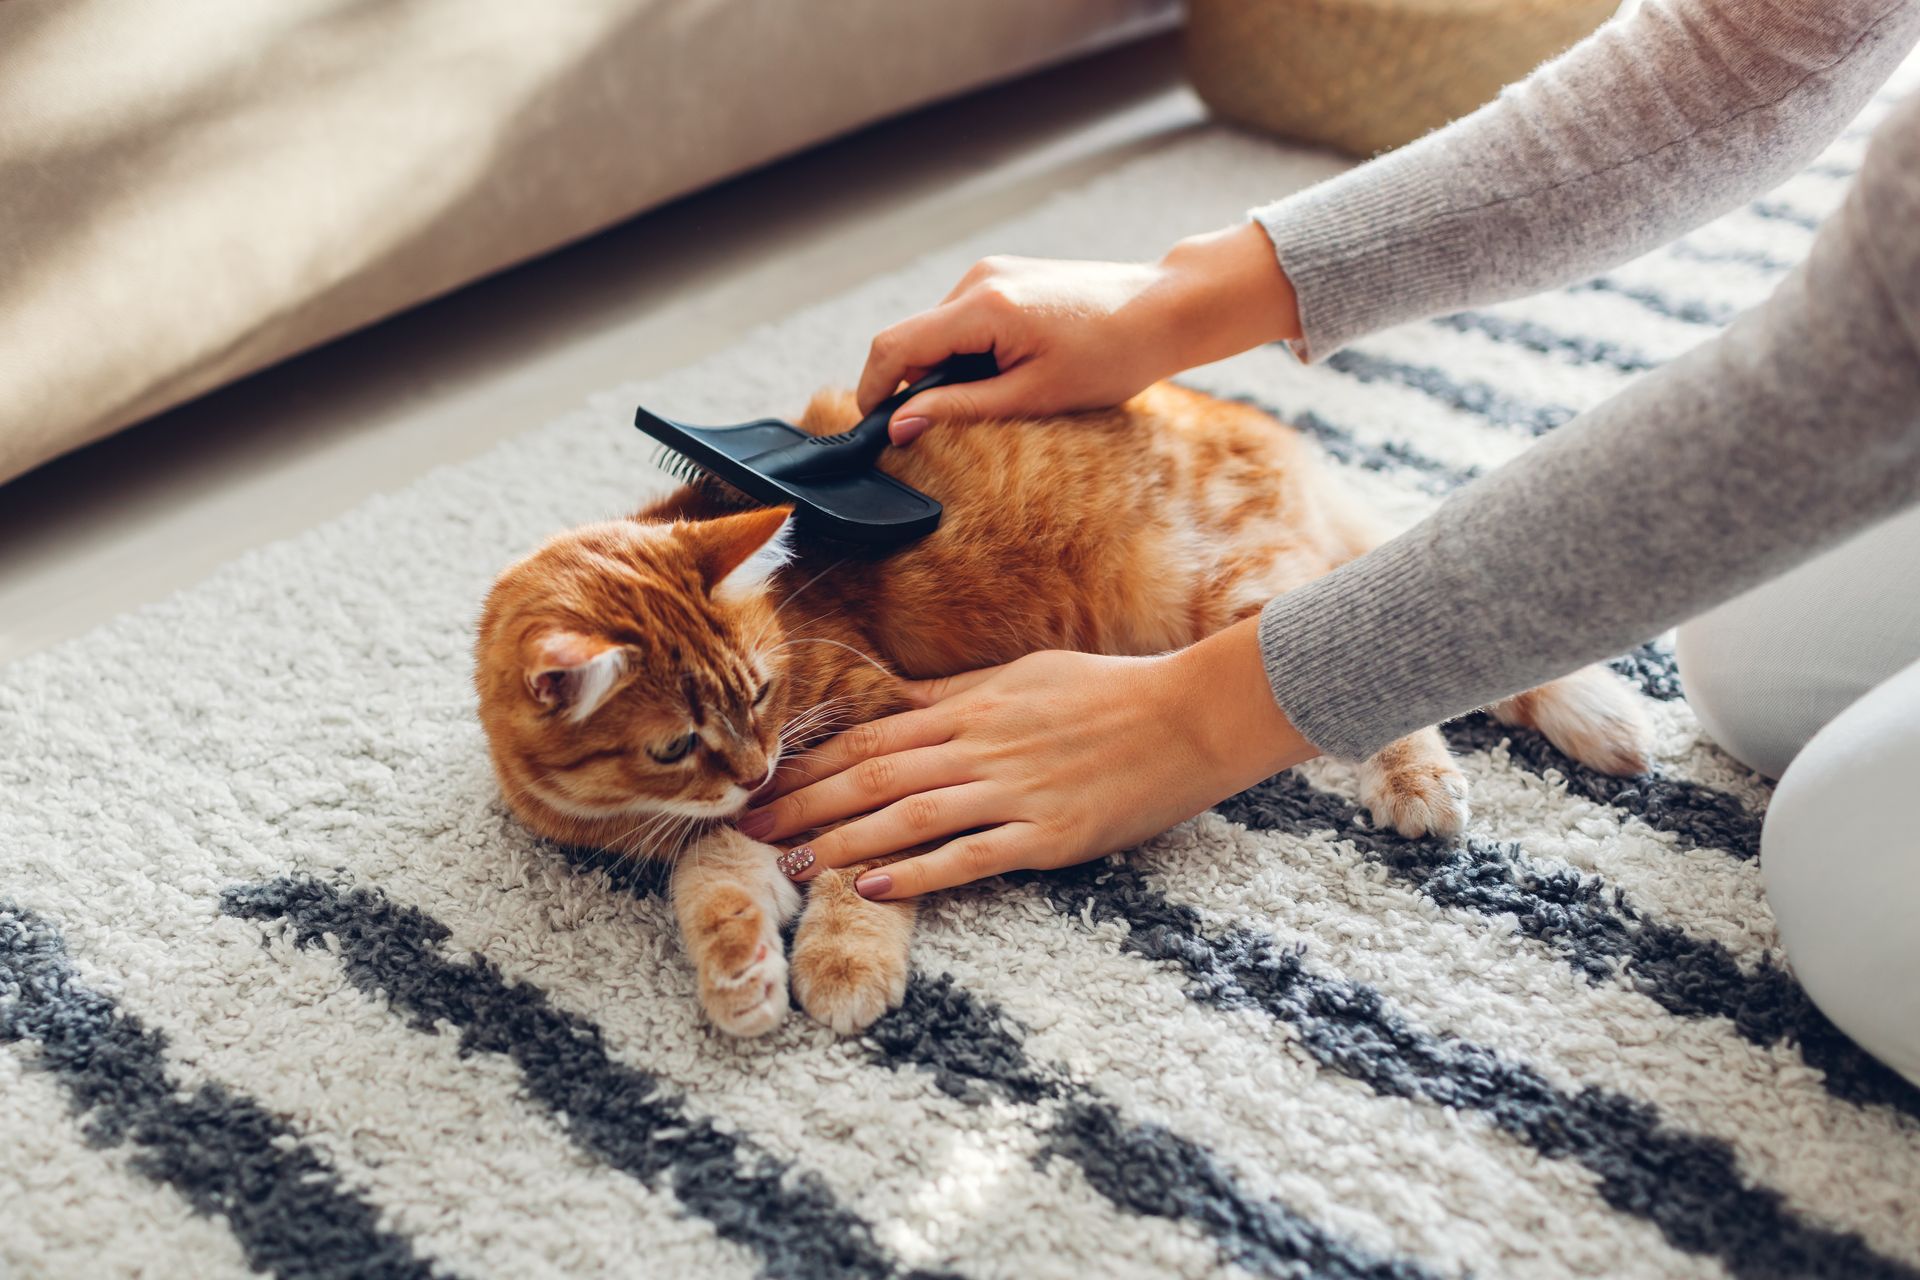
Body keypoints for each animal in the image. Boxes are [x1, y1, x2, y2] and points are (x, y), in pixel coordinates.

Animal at [480, 379, 1651, 1043]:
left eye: (761, 691)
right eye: (679, 743)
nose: (758, 764)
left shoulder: (867, 741)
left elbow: (862, 876)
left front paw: (842, 962)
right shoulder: (730, 829)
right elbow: (716, 887)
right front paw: (741, 977)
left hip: (1228, 595)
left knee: (1362, 664)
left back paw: (1422, 779)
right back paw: (1602, 719)